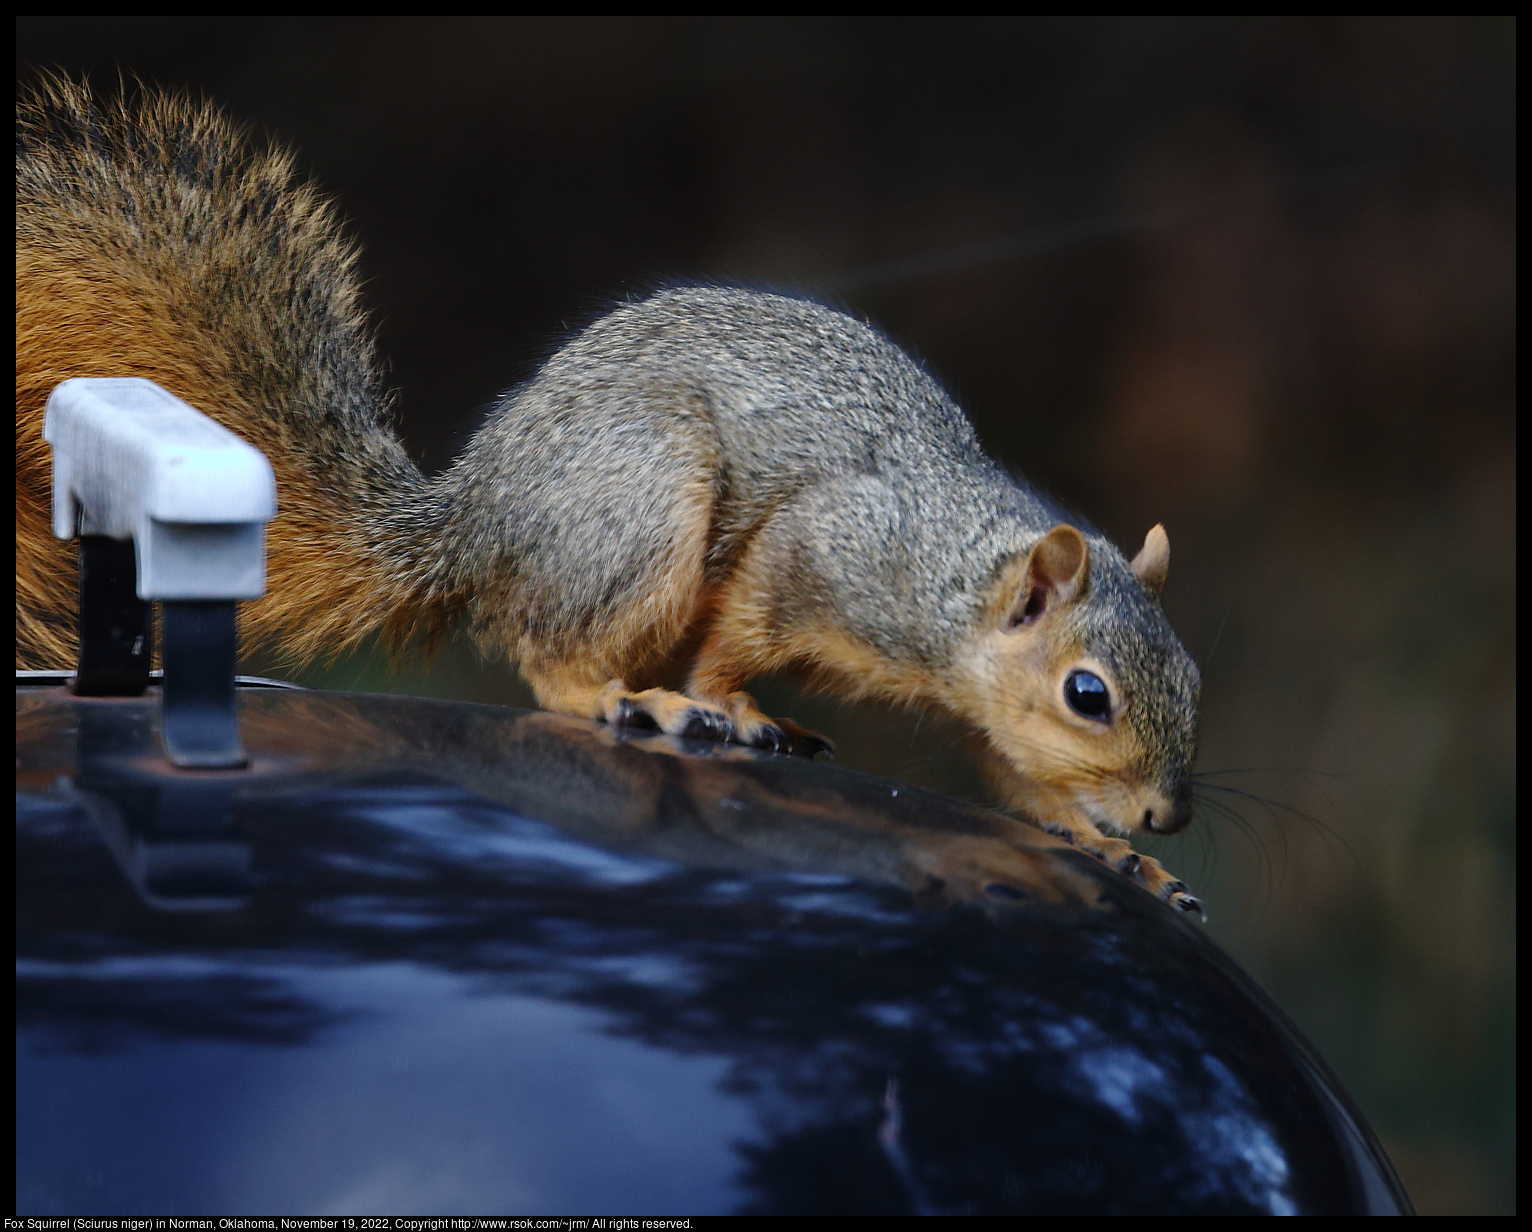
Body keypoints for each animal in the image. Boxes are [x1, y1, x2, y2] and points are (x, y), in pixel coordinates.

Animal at [14, 77, 1207, 913]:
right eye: (1088, 694)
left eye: (1192, 678)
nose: (1165, 813)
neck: (958, 580)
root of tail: (473, 523)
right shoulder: (829, 551)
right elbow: (742, 628)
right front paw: (730, 704)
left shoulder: (980, 706)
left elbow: (1021, 784)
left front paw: (1114, 854)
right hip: (642, 508)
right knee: (548, 656)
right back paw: (633, 701)